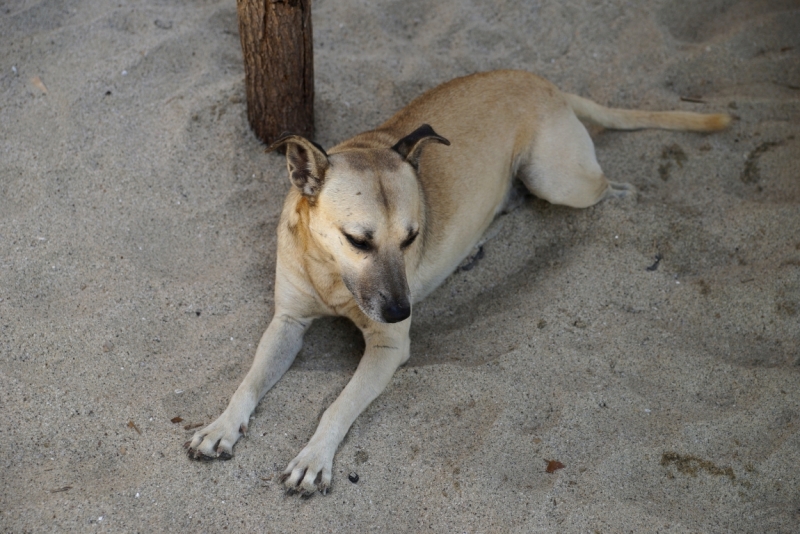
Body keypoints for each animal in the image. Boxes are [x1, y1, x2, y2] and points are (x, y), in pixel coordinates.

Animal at [186, 69, 732, 496]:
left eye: (412, 237)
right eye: (357, 240)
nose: (402, 312)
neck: (330, 274)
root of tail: (541, 81)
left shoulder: (387, 348)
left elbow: (338, 406)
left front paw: (314, 457)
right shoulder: (287, 323)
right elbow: (248, 382)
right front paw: (220, 427)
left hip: (558, 180)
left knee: (605, 186)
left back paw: (624, 197)